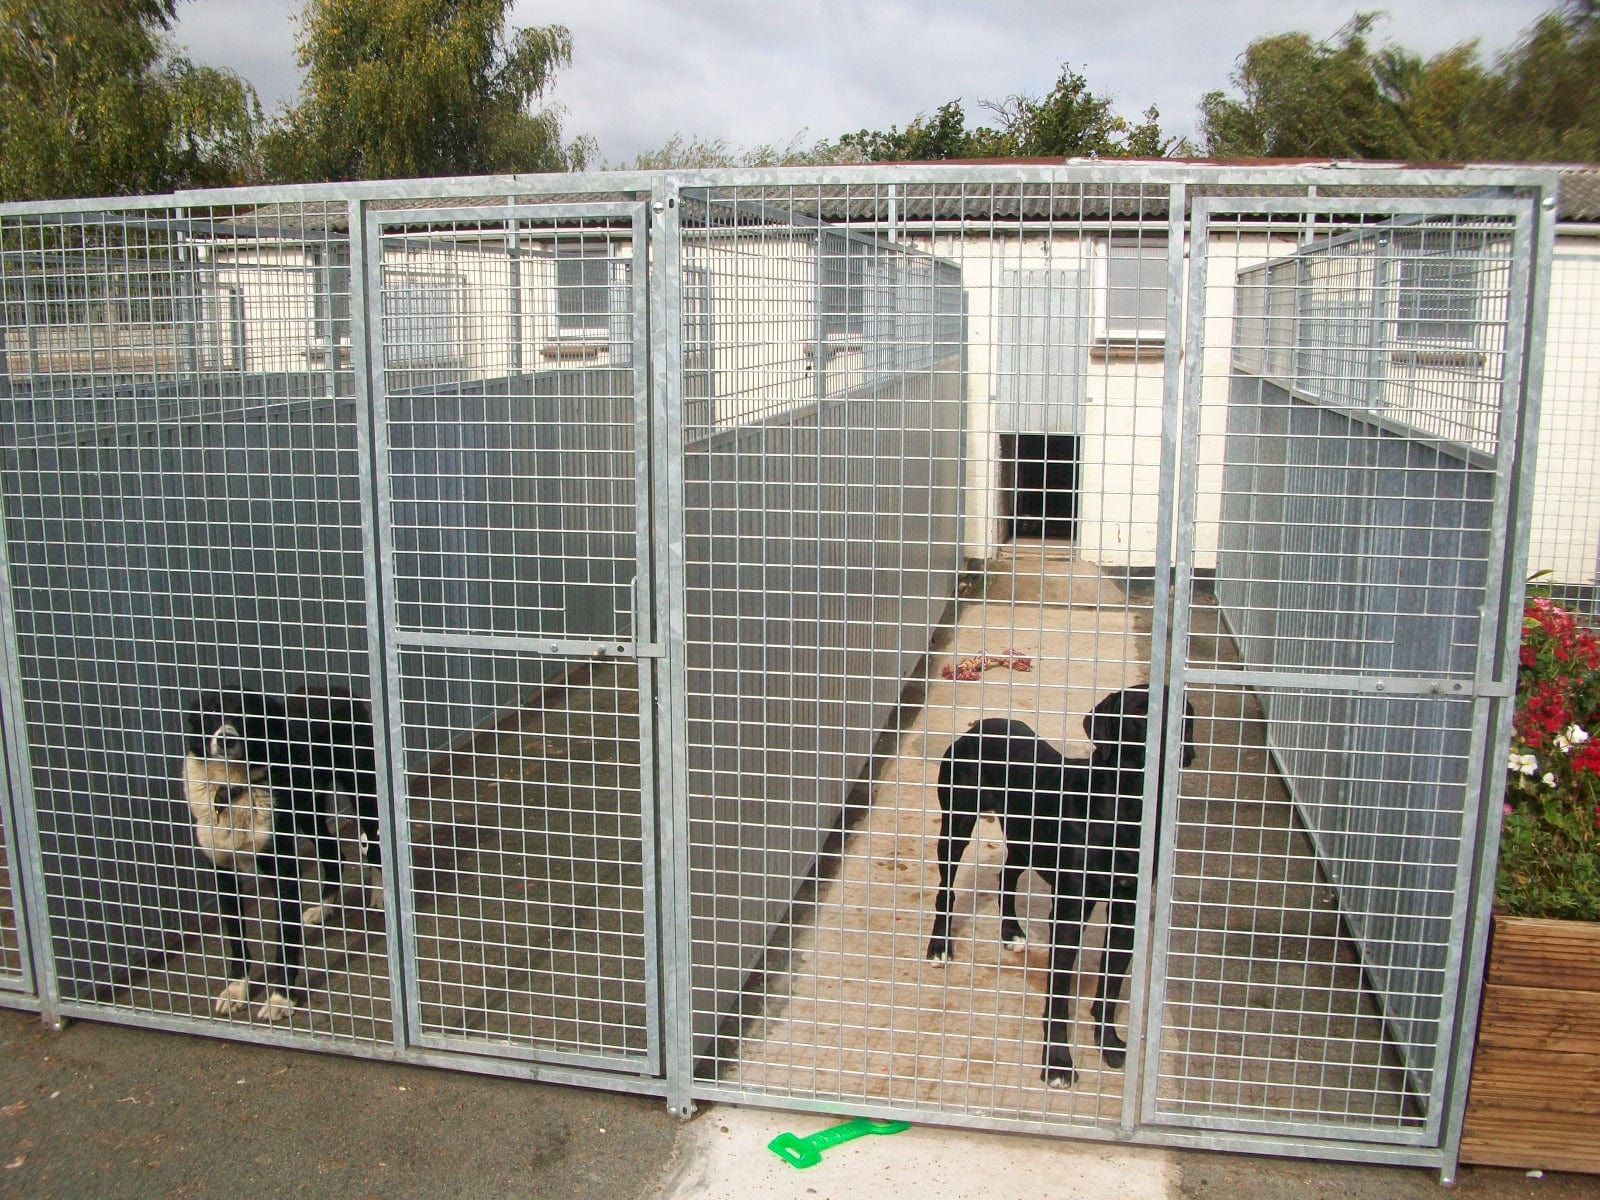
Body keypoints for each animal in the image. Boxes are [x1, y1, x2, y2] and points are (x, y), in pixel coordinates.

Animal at [182, 684, 380, 1024]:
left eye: (246, 714)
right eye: (211, 713)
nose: (225, 738)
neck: (233, 789)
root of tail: (331, 687)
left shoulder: (284, 871)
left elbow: (284, 942)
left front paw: (281, 999)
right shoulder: (223, 873)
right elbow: (236, 938)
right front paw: (237, 988)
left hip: (361, 791)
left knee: (376, 848)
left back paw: (380, 895)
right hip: (306, 810)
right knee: (334, 855)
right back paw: (322, 908)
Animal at [921, 684, 1196, 1088]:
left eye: (1185, 710)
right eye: (1138, 712)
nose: (1178, 742)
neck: (1125, 807)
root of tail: (980, 727)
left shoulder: (1126, 911)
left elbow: (1110, 989)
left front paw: (1109, 1043)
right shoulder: (1068, 914)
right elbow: (1059, 997)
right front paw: (1058, 1063)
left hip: (1025, 838)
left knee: (1007, 877)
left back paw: (1011, 932)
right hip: (957, 824)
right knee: (947, 889)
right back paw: (940, 946)